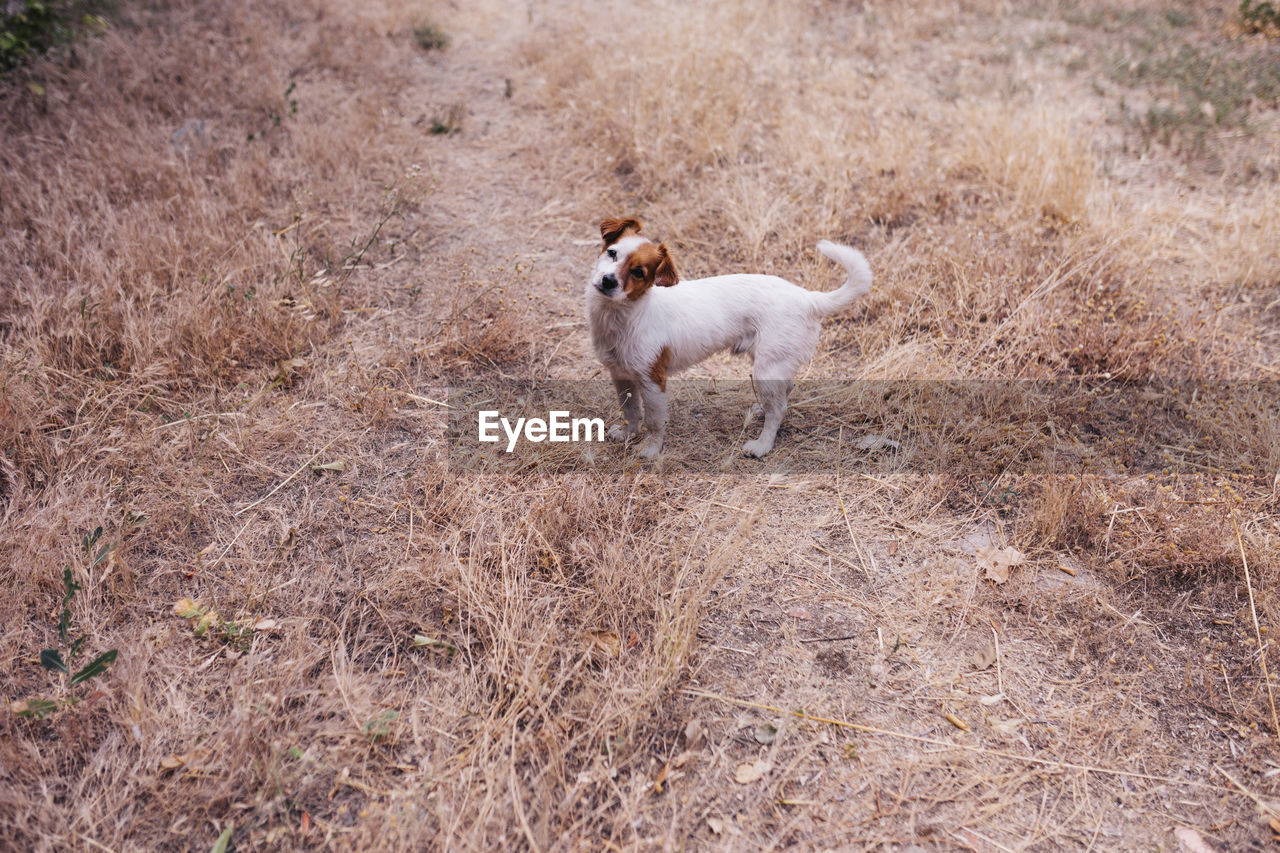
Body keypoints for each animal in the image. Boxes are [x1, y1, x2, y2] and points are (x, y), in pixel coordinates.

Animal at [586, 217, 870, 458]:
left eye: (638, 272)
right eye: (612, 253)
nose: (608, 281)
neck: (623, 315)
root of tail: (808, 297)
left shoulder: (653, 380)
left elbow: (654, 421)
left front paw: (650, 449)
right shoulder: (621, 375)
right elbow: (630, 410)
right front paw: (628, 434)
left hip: (766, 370)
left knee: (779, 409)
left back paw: (762, 445)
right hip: (774, 365)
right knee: (784, 392)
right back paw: (762, 411)